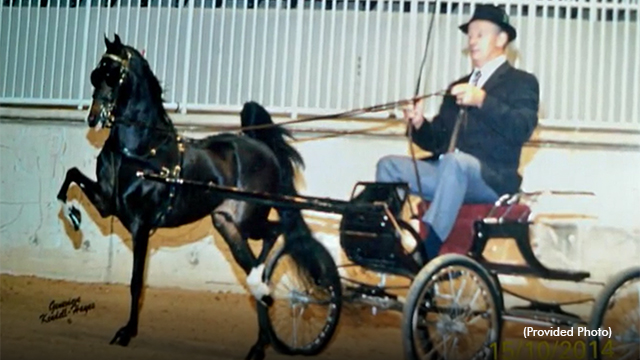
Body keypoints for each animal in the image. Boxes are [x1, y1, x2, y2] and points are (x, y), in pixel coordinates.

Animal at [56, 33, 324, 358]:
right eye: (96, 73)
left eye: (112, 73)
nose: (94, 118)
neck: (140, 150)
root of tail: (263, 148)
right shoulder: (108, 204)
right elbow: (70, 175)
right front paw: (71, 215)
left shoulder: (141, 225)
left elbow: (136, 282)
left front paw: (126, 332)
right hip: (227, 225)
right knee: (257, 263)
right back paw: (258, 337)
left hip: (249, 220)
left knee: (275, 231)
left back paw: (261, 285)